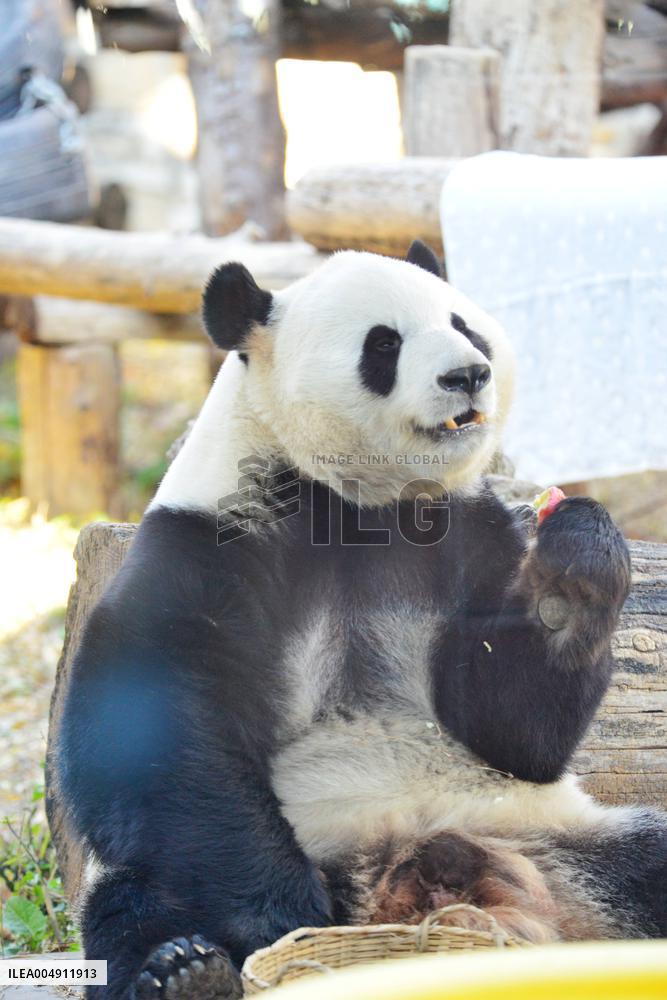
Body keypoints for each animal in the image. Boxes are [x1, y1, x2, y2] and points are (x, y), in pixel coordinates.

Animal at [46, 240, 666, 1000]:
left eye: (464, 324)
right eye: (383, 344)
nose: (469, 373)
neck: (361, 502)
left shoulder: (471, 535)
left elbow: (514, 731)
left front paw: (571, 570)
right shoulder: (212, 541)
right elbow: (153, 723)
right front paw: (282, 917)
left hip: (555, 832)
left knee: (650, 863)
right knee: (135, 901)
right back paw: (187, 970)